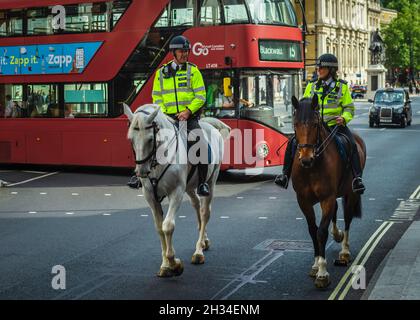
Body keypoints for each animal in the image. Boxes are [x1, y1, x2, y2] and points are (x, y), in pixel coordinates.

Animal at [124, 104, 231, 278]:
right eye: (131, 139)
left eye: (150, 139)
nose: (141, 172)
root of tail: (208, 125)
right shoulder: (151, 197)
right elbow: (159, 228)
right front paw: (165, 265)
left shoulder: (176, 192)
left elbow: (168, 226)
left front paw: (174, 263)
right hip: (189, 187)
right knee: (196, 205)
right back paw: (204, 241)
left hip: (211, 181)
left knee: (204, 212)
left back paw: (198, 251)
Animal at [290, 94, 366, 288]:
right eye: (295, 124)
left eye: (315, 124)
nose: (306, 159)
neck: (313, 167)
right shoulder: (303, 200)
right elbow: (312, 229)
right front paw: (316, 264)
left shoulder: (327, 198)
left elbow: (321, 232)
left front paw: (323, 273)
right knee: (336, 212)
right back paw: (337, 235)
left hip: (350, 193)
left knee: (347, 217)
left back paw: (344, 250)